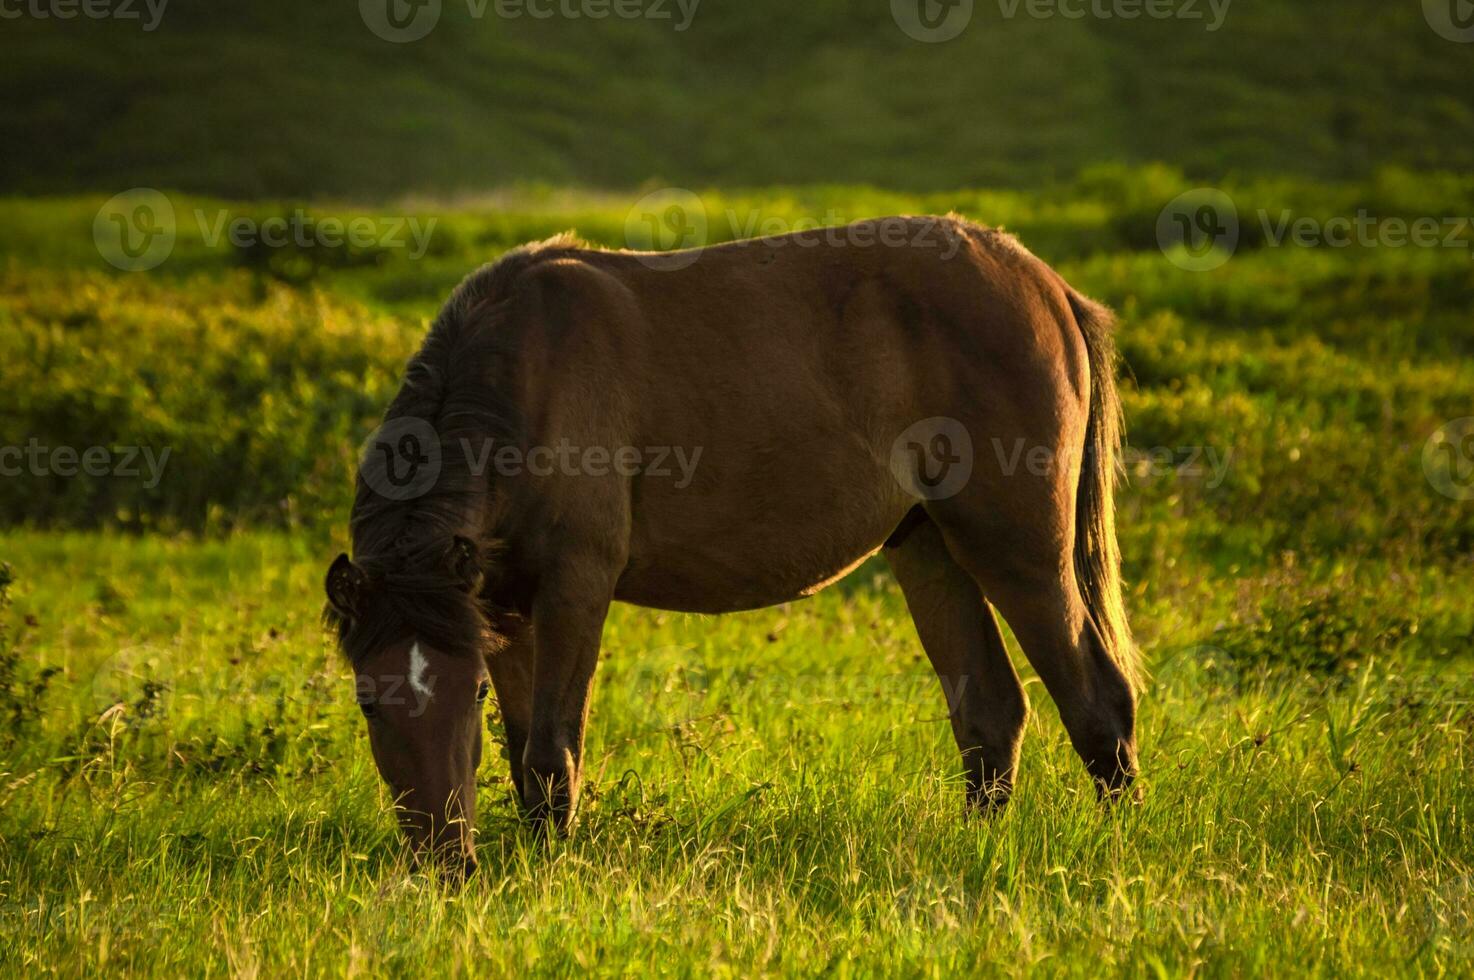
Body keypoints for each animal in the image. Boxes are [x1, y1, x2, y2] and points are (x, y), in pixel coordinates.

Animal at [328, 213, 1143, 872]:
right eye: (369, 701)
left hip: (1019, 551)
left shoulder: (575, 587)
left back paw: (1118, 849)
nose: (446, 863)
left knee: (1097, 698)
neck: (528, 379)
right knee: (992, 714)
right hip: (930, 549)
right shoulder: (502, 607)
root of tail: (1045, 285)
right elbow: (527, 757)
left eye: (466, 693)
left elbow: (554, 750)